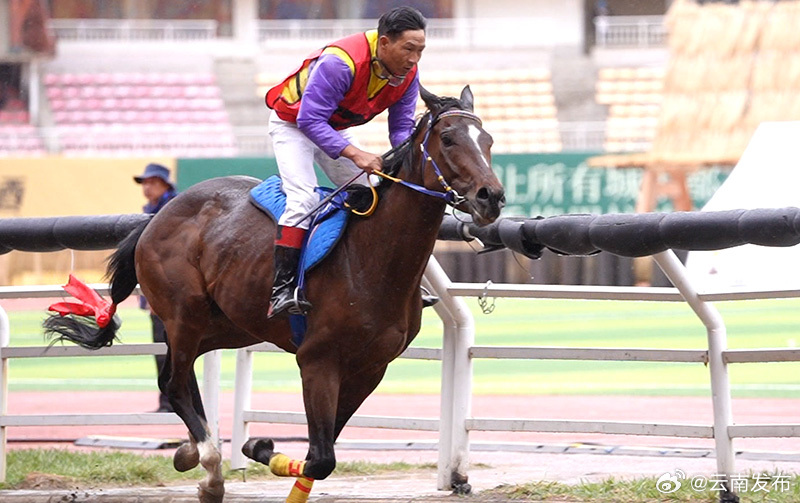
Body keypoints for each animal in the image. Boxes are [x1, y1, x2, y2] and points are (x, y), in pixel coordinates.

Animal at [43, 85, 505, 503]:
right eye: (448, 139)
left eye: (488, 140)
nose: (492, 197)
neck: (372, 259)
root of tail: (156, 217)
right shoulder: (318, 360)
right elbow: (322, 457)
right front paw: (256, 446)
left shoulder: (371, 368)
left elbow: (321, 453)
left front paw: (257, 446)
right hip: (184, 313)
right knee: (174, 384)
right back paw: (210, 468)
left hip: (227, 324)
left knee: (177, 379)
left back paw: (191, 451)